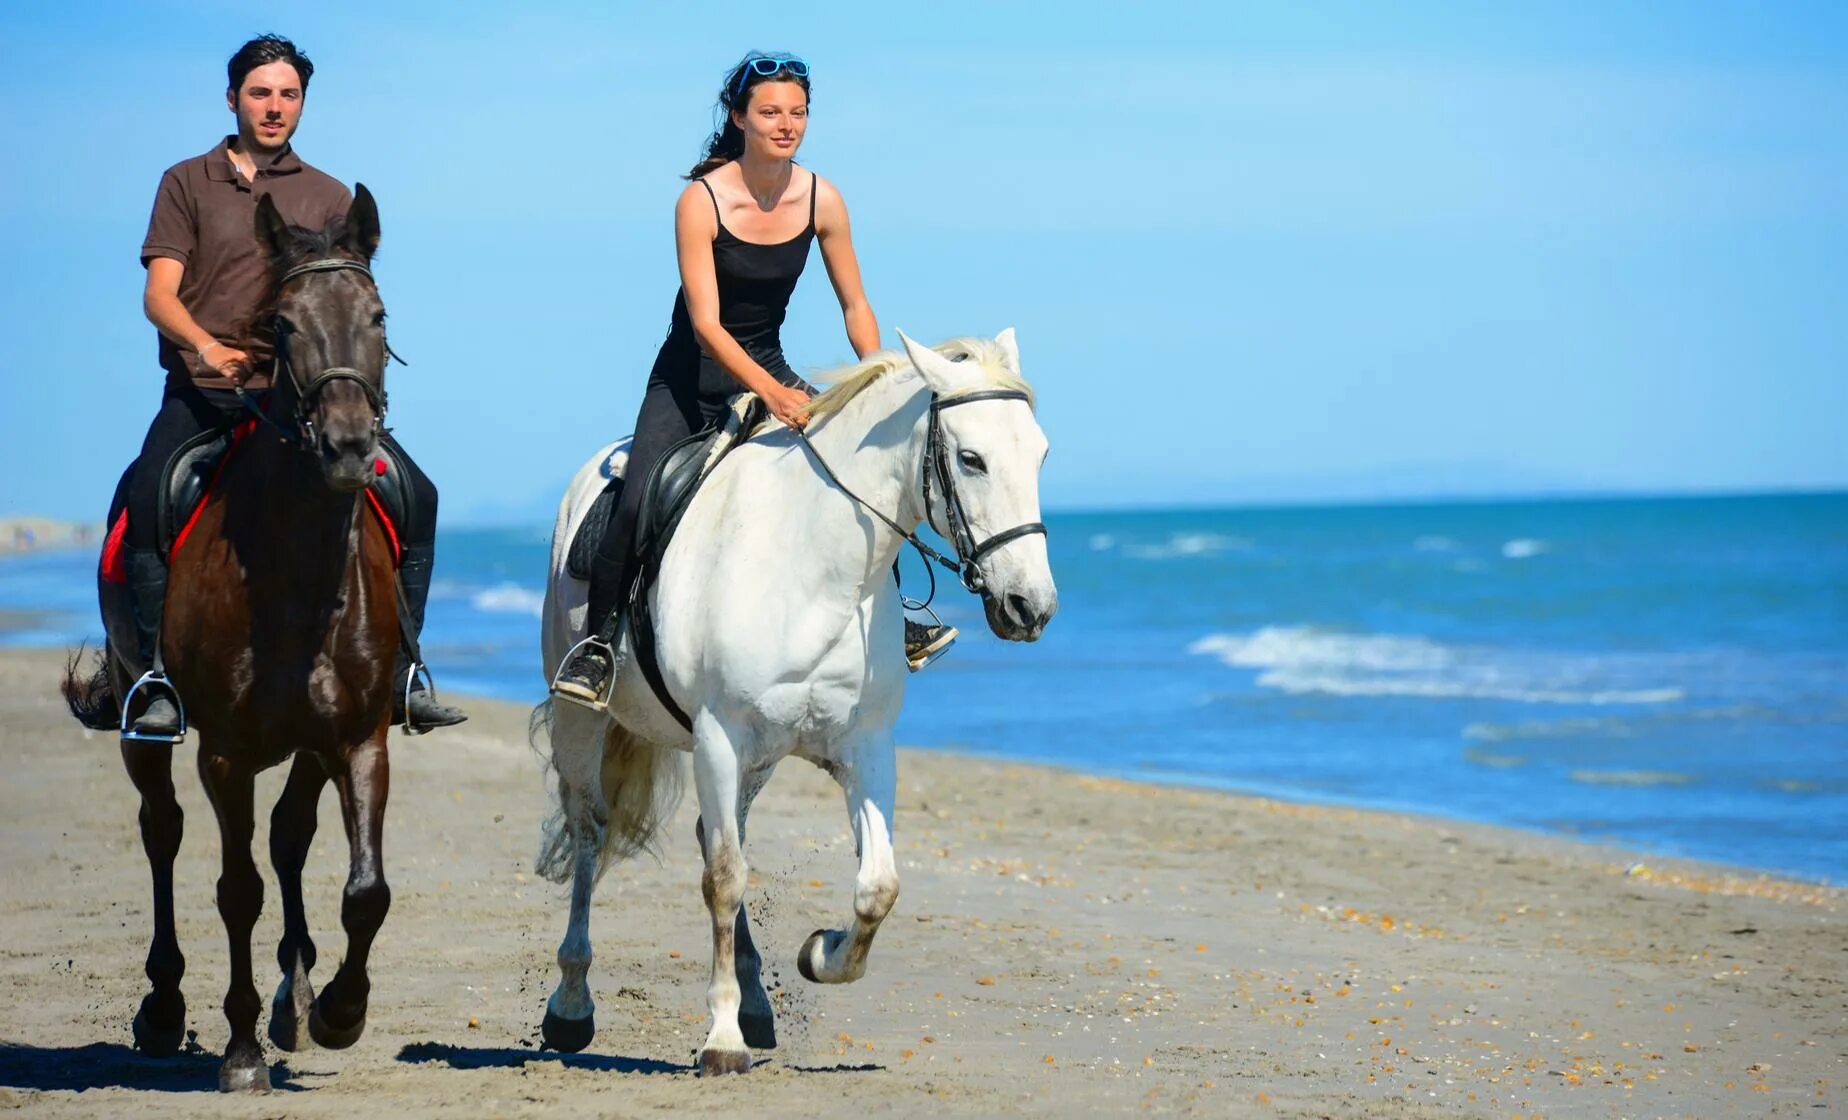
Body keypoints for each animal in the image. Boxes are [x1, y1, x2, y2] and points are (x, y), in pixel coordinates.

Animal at [66, 186, 402, 1094]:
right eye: (281, 324)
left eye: (378, 315)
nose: (349, 446)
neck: (295, 575)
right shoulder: (224, 754)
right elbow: (235, 888)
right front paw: (244, 1050)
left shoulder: (358, 738)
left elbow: (364, 890)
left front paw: (337, 1012)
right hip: (148, 729)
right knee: (163, 830)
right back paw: (165, 1007)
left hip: (310, 746)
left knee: (289, 838)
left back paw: (297, 994)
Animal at [535, 328, 1057, 1071]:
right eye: (971, 459)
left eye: (1039, 453)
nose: (1030, 607)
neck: (818, 570)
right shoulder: (718, 736)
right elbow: (725, 879)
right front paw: (721, 1041)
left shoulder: (864, 747)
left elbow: (877, 887)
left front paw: (820, 955)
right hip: (585, 723)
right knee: (591, 832)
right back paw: (572, 1006)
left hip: (759, 759)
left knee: (714, 831)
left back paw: (755, 1002)